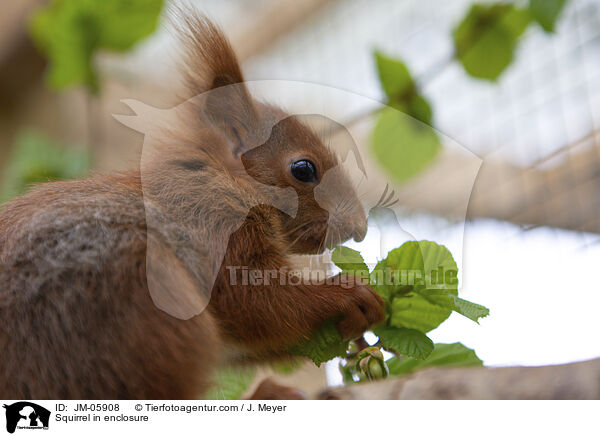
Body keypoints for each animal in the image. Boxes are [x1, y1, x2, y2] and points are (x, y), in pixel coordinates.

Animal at [0, 13, 384, 400]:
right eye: (304, 169)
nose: (360, 227)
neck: (221, 182)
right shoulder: (214, 230)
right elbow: (257, 304)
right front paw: (348, 294)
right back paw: (267, 393)